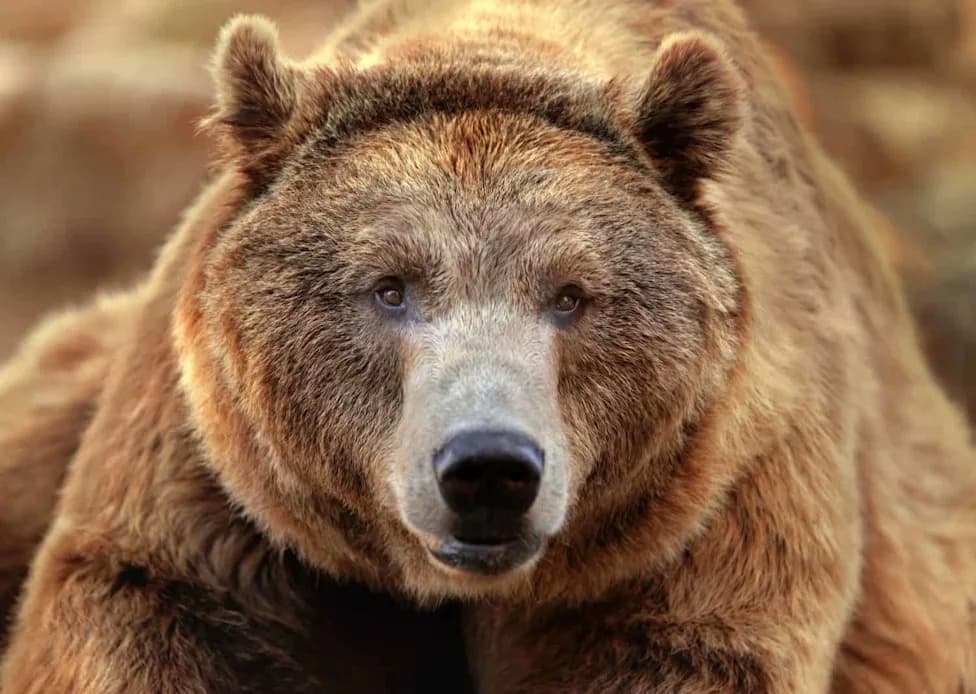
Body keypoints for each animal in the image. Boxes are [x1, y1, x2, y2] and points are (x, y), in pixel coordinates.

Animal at [2, 0, 975, 691]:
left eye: (572, 295)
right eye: (389, 286)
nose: (488, 468)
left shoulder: (718, 507)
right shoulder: (219, 488)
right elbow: (149, 605)